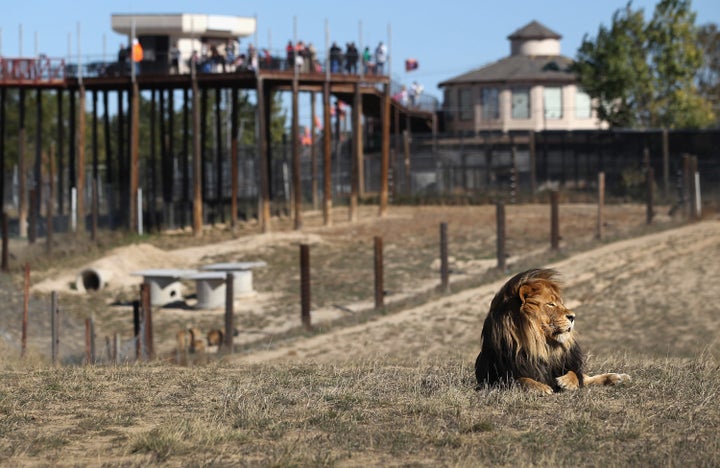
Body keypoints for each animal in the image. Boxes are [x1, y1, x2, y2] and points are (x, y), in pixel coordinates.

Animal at [476, 268, 628, 394]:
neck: (543, 346)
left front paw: (566, 382)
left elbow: (576, 374)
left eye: (561, 303)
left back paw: (618, 377)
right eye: (550, 304)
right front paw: (540, 387)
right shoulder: (499, 379)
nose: (573, 316)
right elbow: (522, 380)